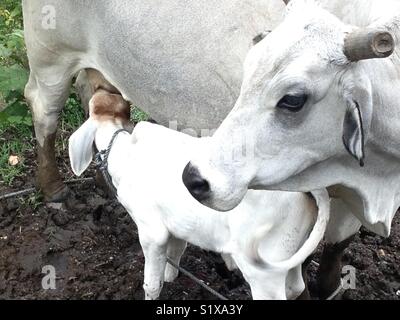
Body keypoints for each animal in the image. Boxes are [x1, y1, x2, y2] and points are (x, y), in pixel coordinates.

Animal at [69, 90, 332, 300]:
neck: (124, 154)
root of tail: (308, 186)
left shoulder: (152, 231)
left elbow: (151, 284)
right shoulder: (177, 227)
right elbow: (175, 255)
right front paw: (171, 277)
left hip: (262, 270)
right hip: (289, 255)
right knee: (295, 287)